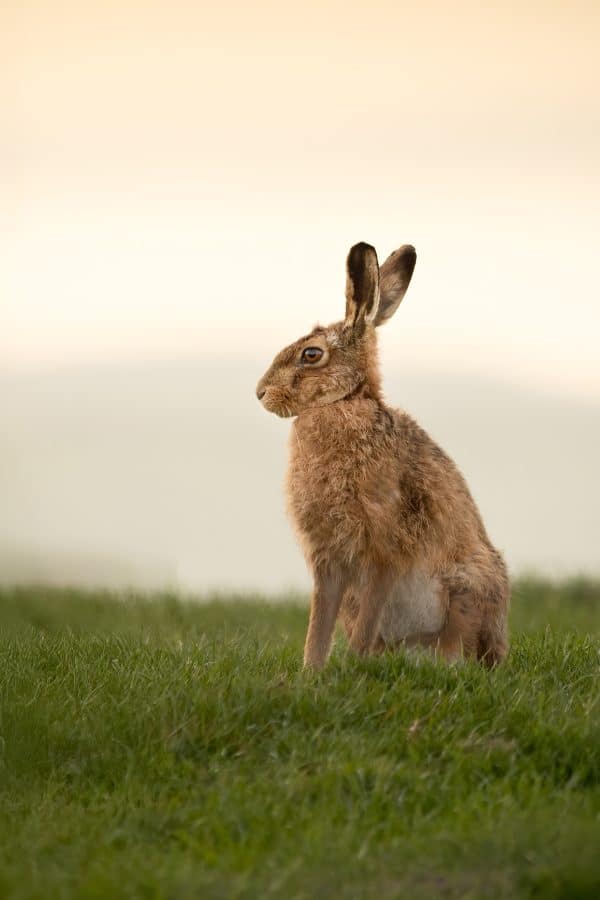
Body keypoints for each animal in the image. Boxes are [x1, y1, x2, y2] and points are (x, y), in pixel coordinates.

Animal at [256, 242, 509, 669]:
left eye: (311, 354)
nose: (260, 392)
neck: (345, 402)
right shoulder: (328, 560)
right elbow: (318, 623)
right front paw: (312, 671)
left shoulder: (383, 546)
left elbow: (368, 615)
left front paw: (352, 666)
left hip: (466, 589)